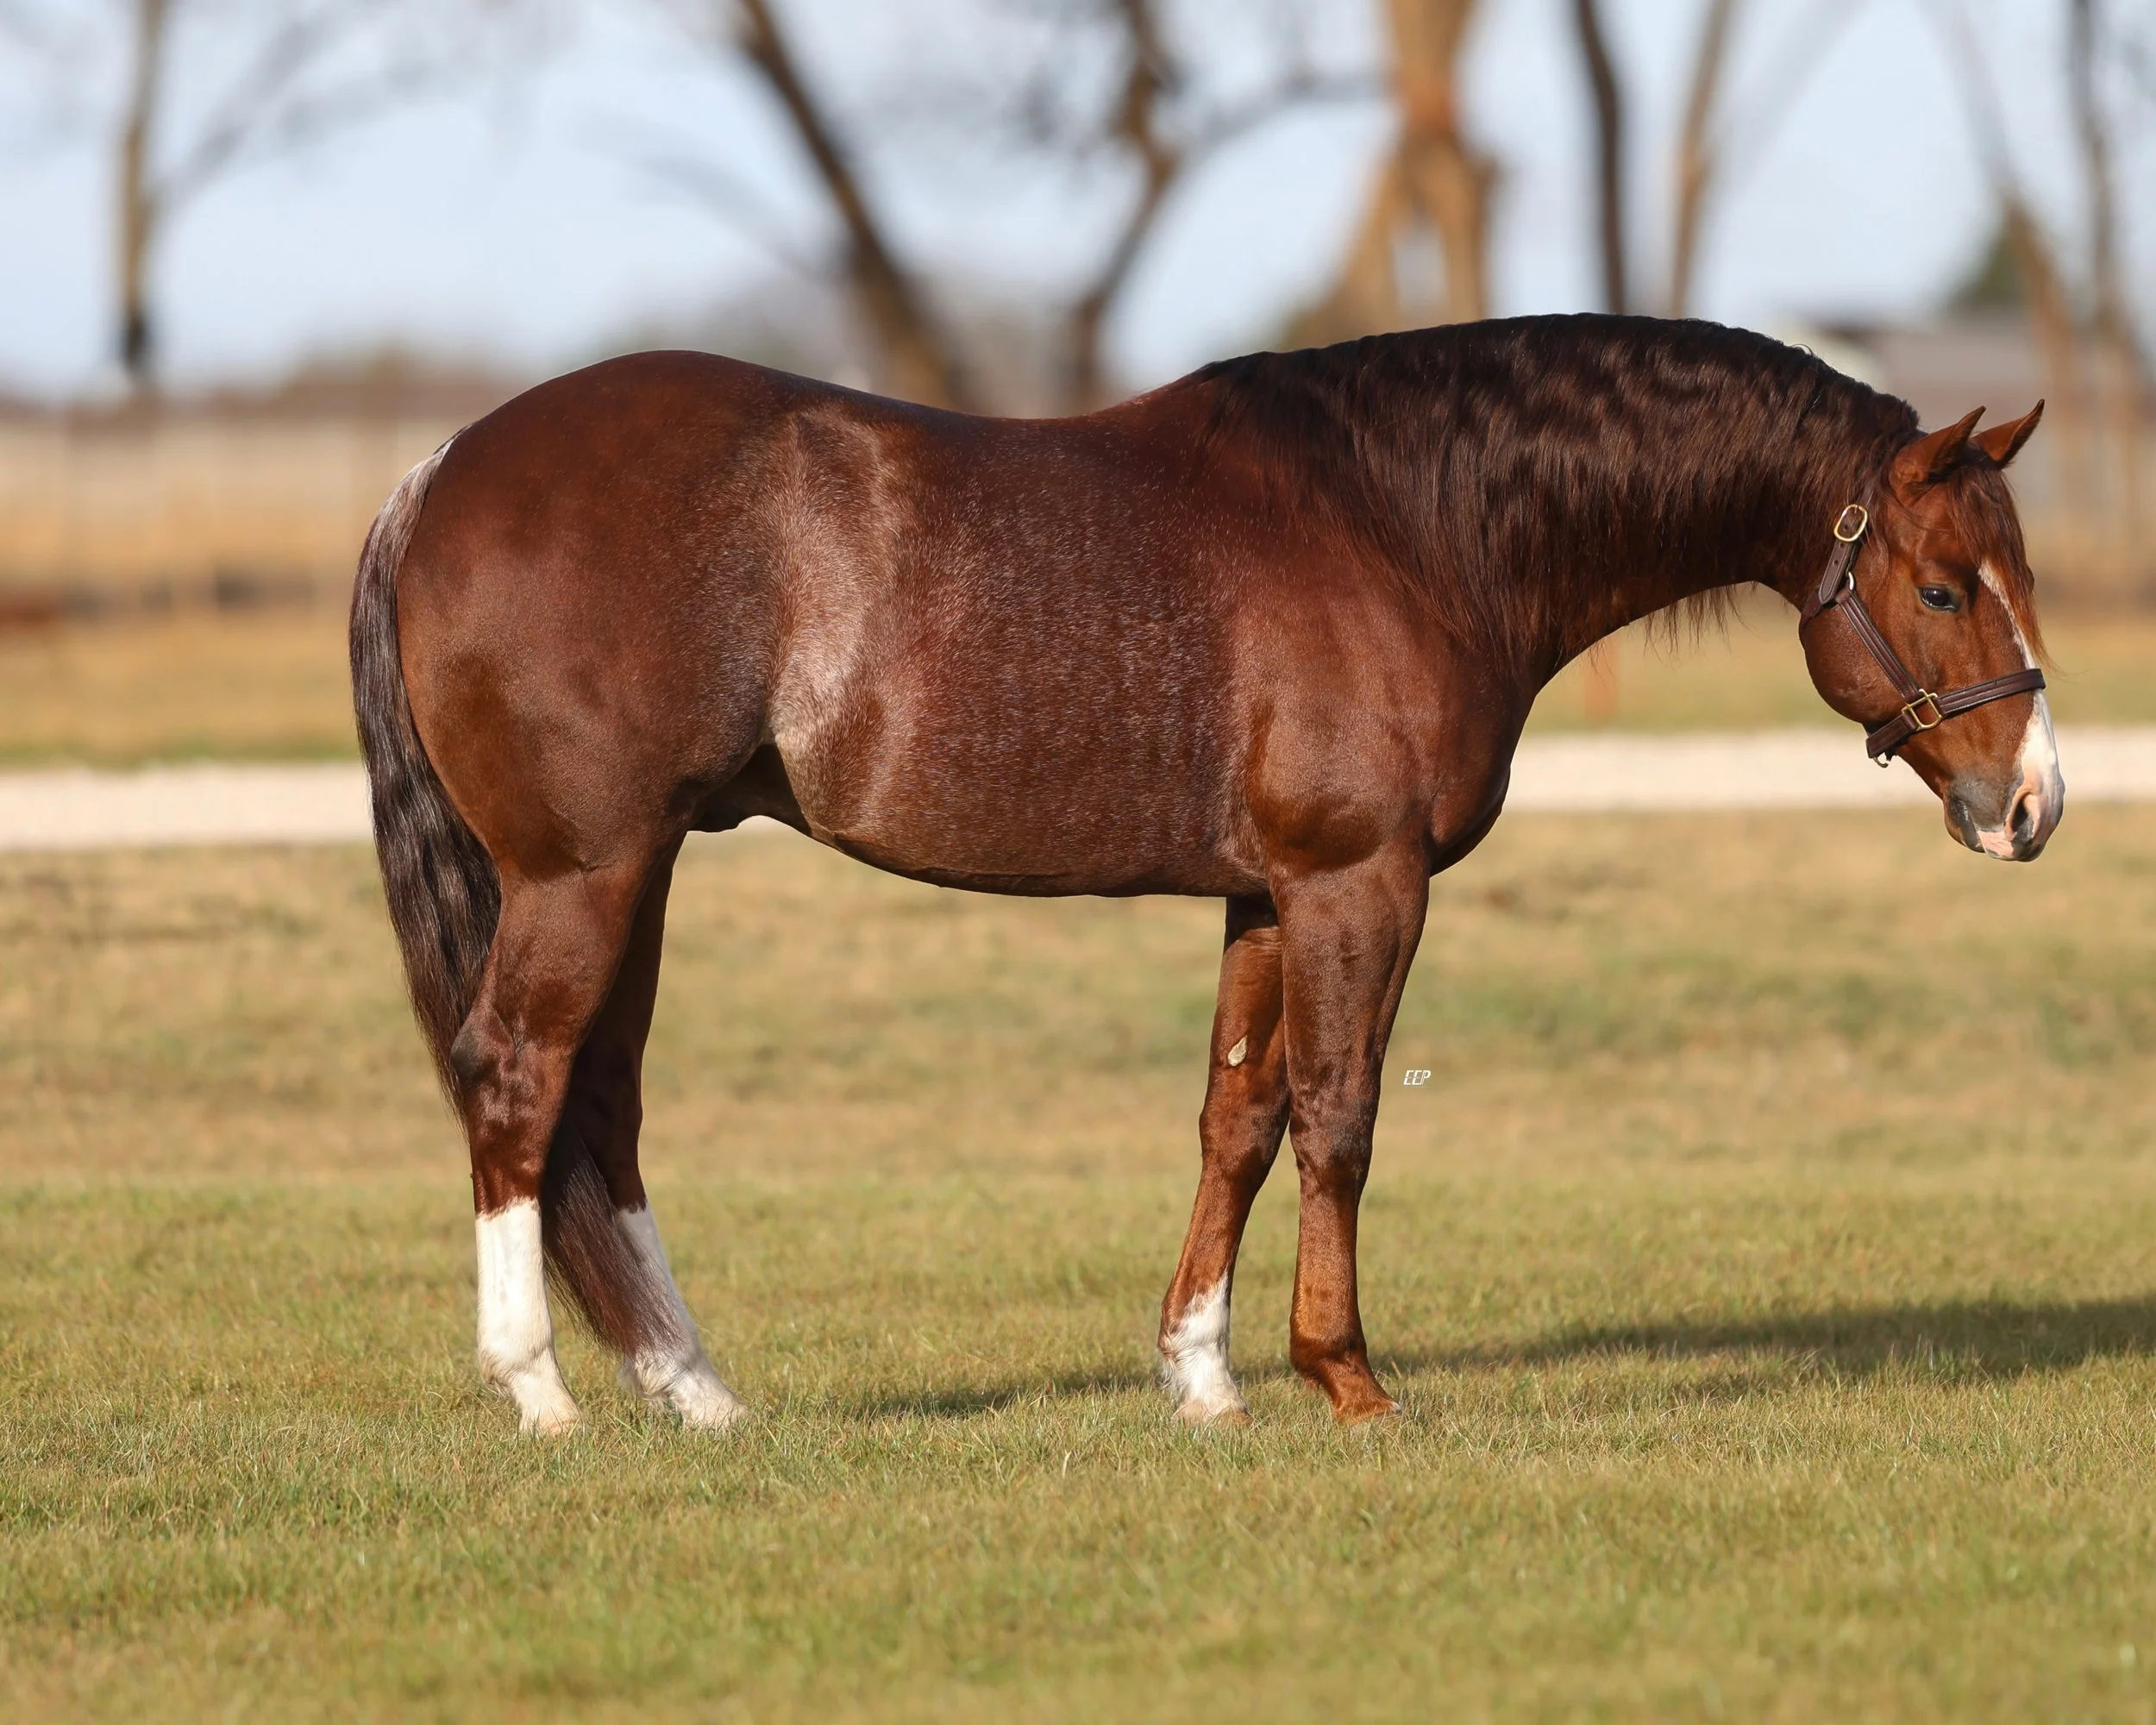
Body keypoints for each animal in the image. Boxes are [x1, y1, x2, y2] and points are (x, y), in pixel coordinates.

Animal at [349, 314, 2061, 1435]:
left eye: (2017, 571)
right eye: (1941, 586)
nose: (2032, 805)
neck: (1408, 522)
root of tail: (438, 469)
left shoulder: (1265, 895)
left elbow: (1238, 1122)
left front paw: (1205, 1376)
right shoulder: (1360, 882)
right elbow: (1341, 1122)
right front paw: (1349, 1379)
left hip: (628, 877)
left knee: (602, 1105)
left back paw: (694, 1392)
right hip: (584, 873)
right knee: (518, 1079)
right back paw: (540, 1394)